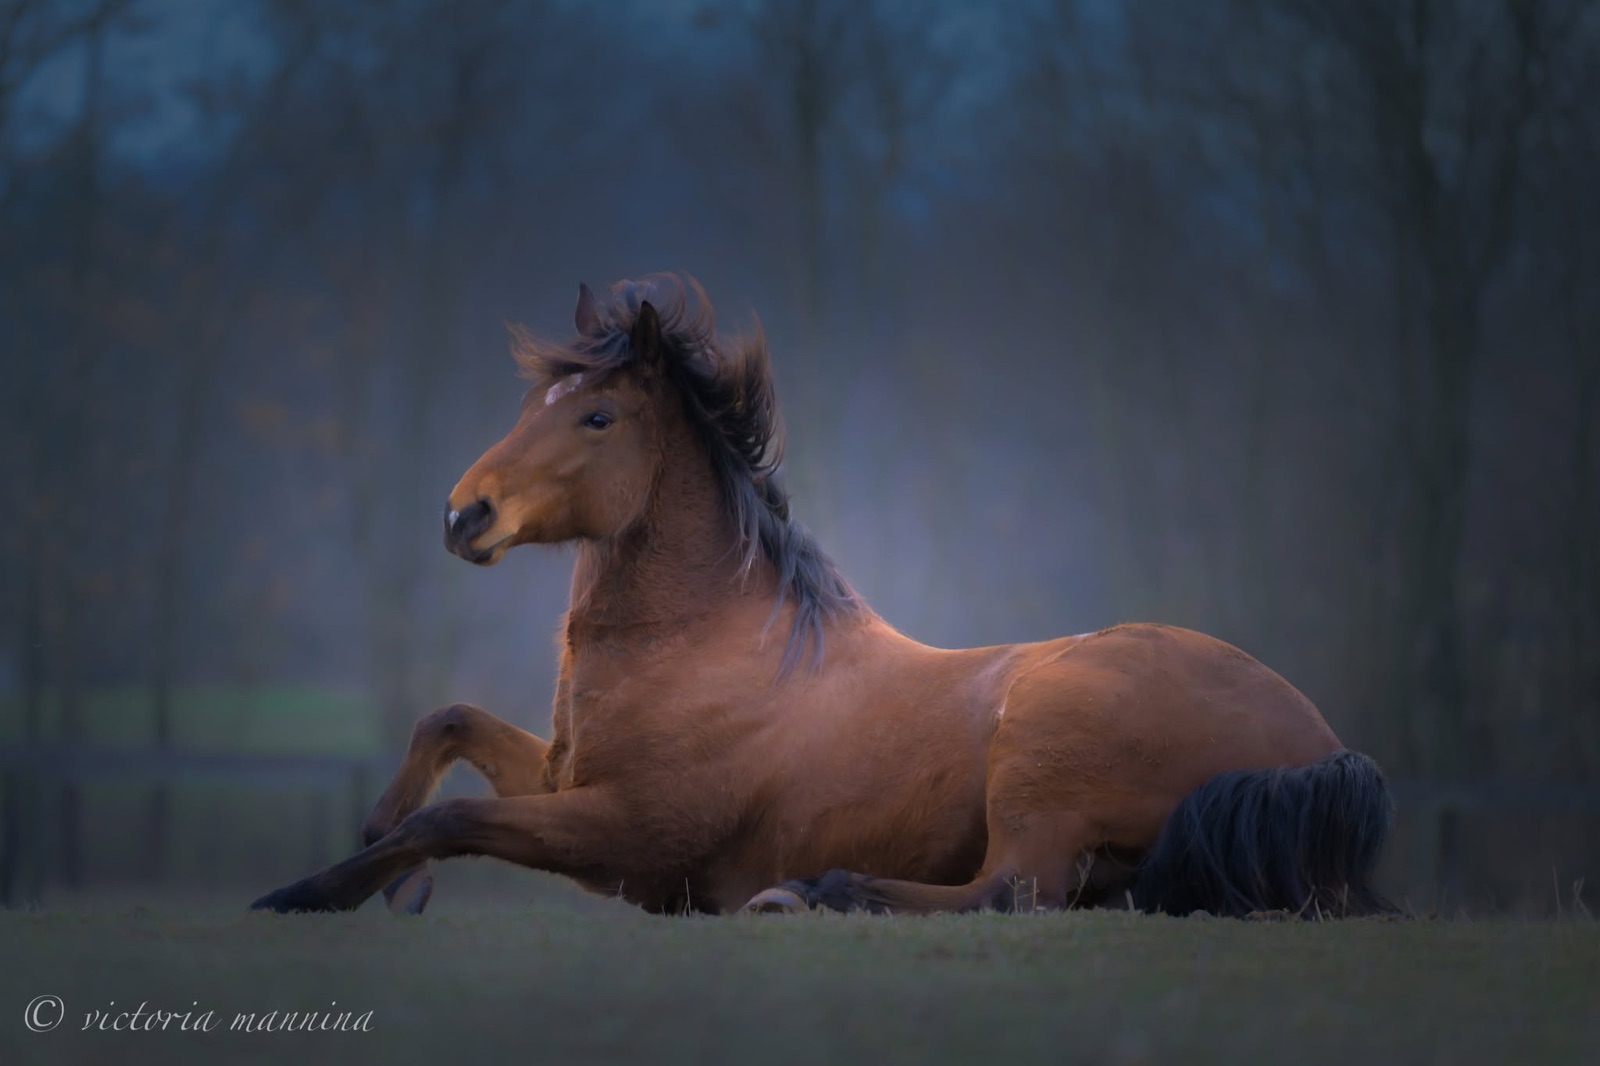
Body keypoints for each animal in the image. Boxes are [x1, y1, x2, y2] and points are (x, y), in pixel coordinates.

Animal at [251, 273, 1392, 919]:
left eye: (598, 418)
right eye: (535, 399)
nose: (463, 516)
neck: (706, 646)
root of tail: (1323, 745)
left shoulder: (630, 833)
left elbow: (451, 822)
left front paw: (311, 891)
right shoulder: (565, 780)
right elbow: (446, 726)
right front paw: (374, 846)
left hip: (1041, 759)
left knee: (1012, 889)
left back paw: (812, 891)